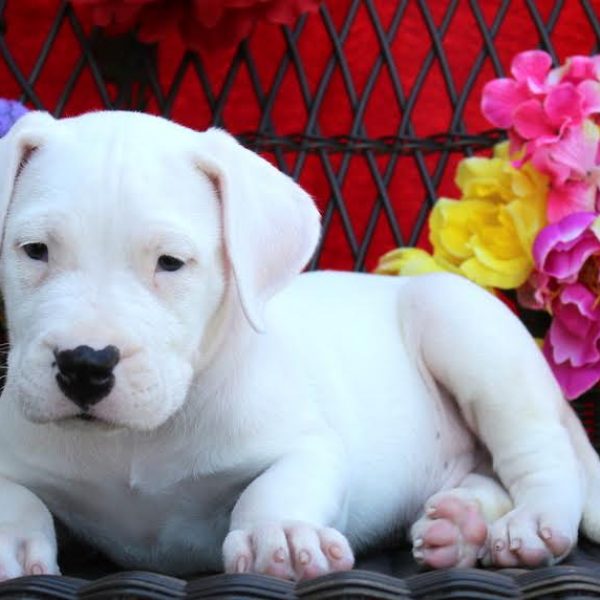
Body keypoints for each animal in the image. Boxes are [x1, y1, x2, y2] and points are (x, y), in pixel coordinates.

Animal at [0, 109, 600, 580]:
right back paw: (461, 524)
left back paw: (534, 521)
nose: (85, 364)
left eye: (170, 263)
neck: (134, 441)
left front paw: (281, 534)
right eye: (34, 250)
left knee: (537, 452)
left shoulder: (308, 443)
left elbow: (277, 486)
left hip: (464, 328)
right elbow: (17, 500)